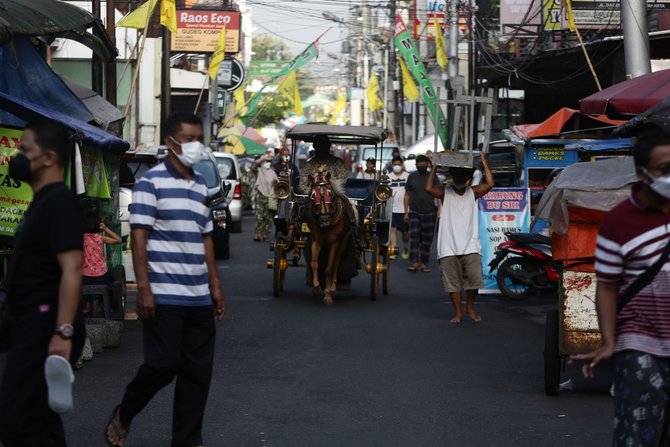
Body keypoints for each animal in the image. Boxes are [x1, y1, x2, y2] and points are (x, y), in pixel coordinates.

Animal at [308, 170, 354, 306]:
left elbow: (329, 268)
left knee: (336, 262)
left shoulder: (335, 242)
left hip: (343, 242)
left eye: (330, 193)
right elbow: (314, 263)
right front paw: (317, 289)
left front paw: (327, 294)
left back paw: (333, 288)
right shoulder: (316, 240)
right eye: (313, 195)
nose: (324, 219)